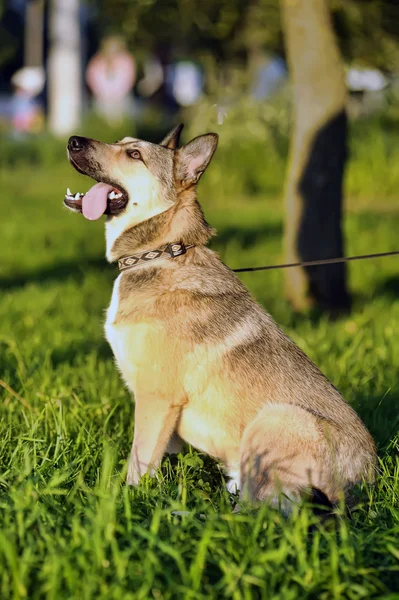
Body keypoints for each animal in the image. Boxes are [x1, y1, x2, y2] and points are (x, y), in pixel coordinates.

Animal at [64, 125, 376, 510]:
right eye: (121, 143)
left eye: (134, 155)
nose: (72, 141)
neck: (161, 252)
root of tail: (363, 484)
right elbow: (158, 456)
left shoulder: (157, 396)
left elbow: (139, 461)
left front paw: (127, 502)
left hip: (276, 420)